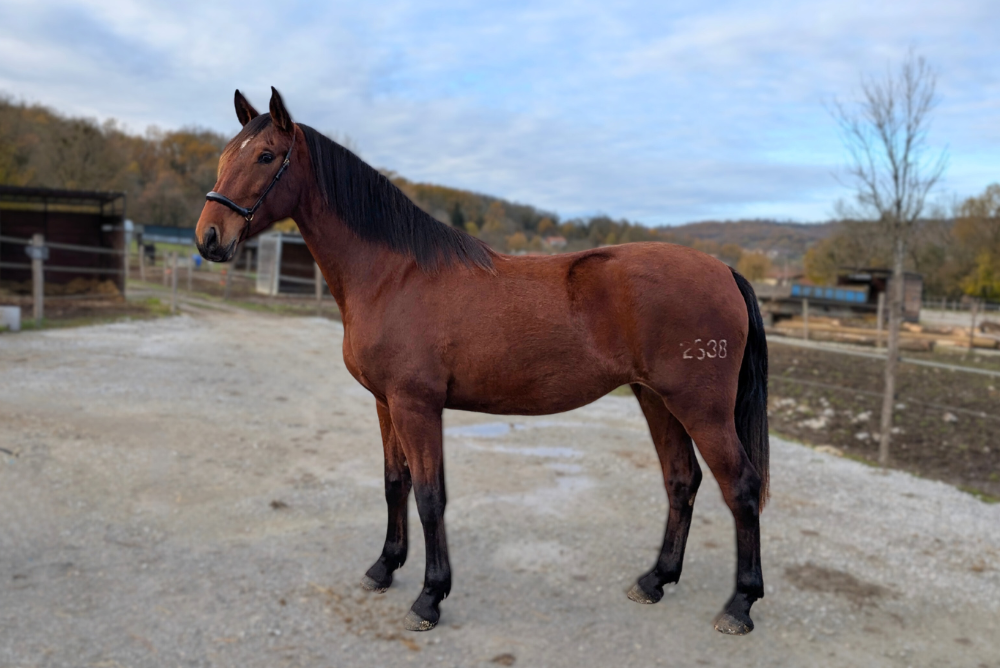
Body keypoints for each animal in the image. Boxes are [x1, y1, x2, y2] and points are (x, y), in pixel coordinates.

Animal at [196, 87, 769, 635]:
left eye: (266, 156)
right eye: (226, 155)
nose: (209, 237)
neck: (392, 275)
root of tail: (724, 270)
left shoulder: (417, 406)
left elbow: (430, 496)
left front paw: (429, 597)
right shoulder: (385, 404)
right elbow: (395, 483)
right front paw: (384, 568)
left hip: (700, 409)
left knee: (740, 487)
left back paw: (740, 606)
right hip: (657, 401)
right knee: (682, 481)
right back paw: (655, 580)